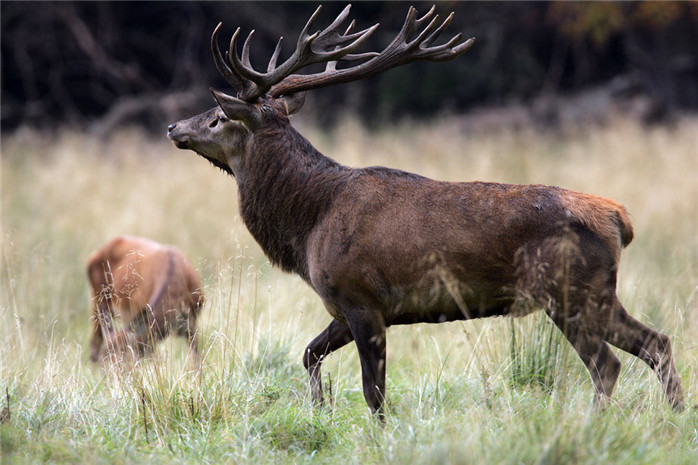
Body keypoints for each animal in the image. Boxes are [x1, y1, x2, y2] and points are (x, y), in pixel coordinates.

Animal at [166, 5, 684, 416]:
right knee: (656, 342)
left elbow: (373, 392)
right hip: (597, 292)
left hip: (568, 289)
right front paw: (320, 409)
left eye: (217, 117)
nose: (174, 127)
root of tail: (619, 219)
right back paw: (676, 418)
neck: (308, 224)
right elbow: (309, 354)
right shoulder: (344, 307)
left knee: (608, 364)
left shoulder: (362, 298)